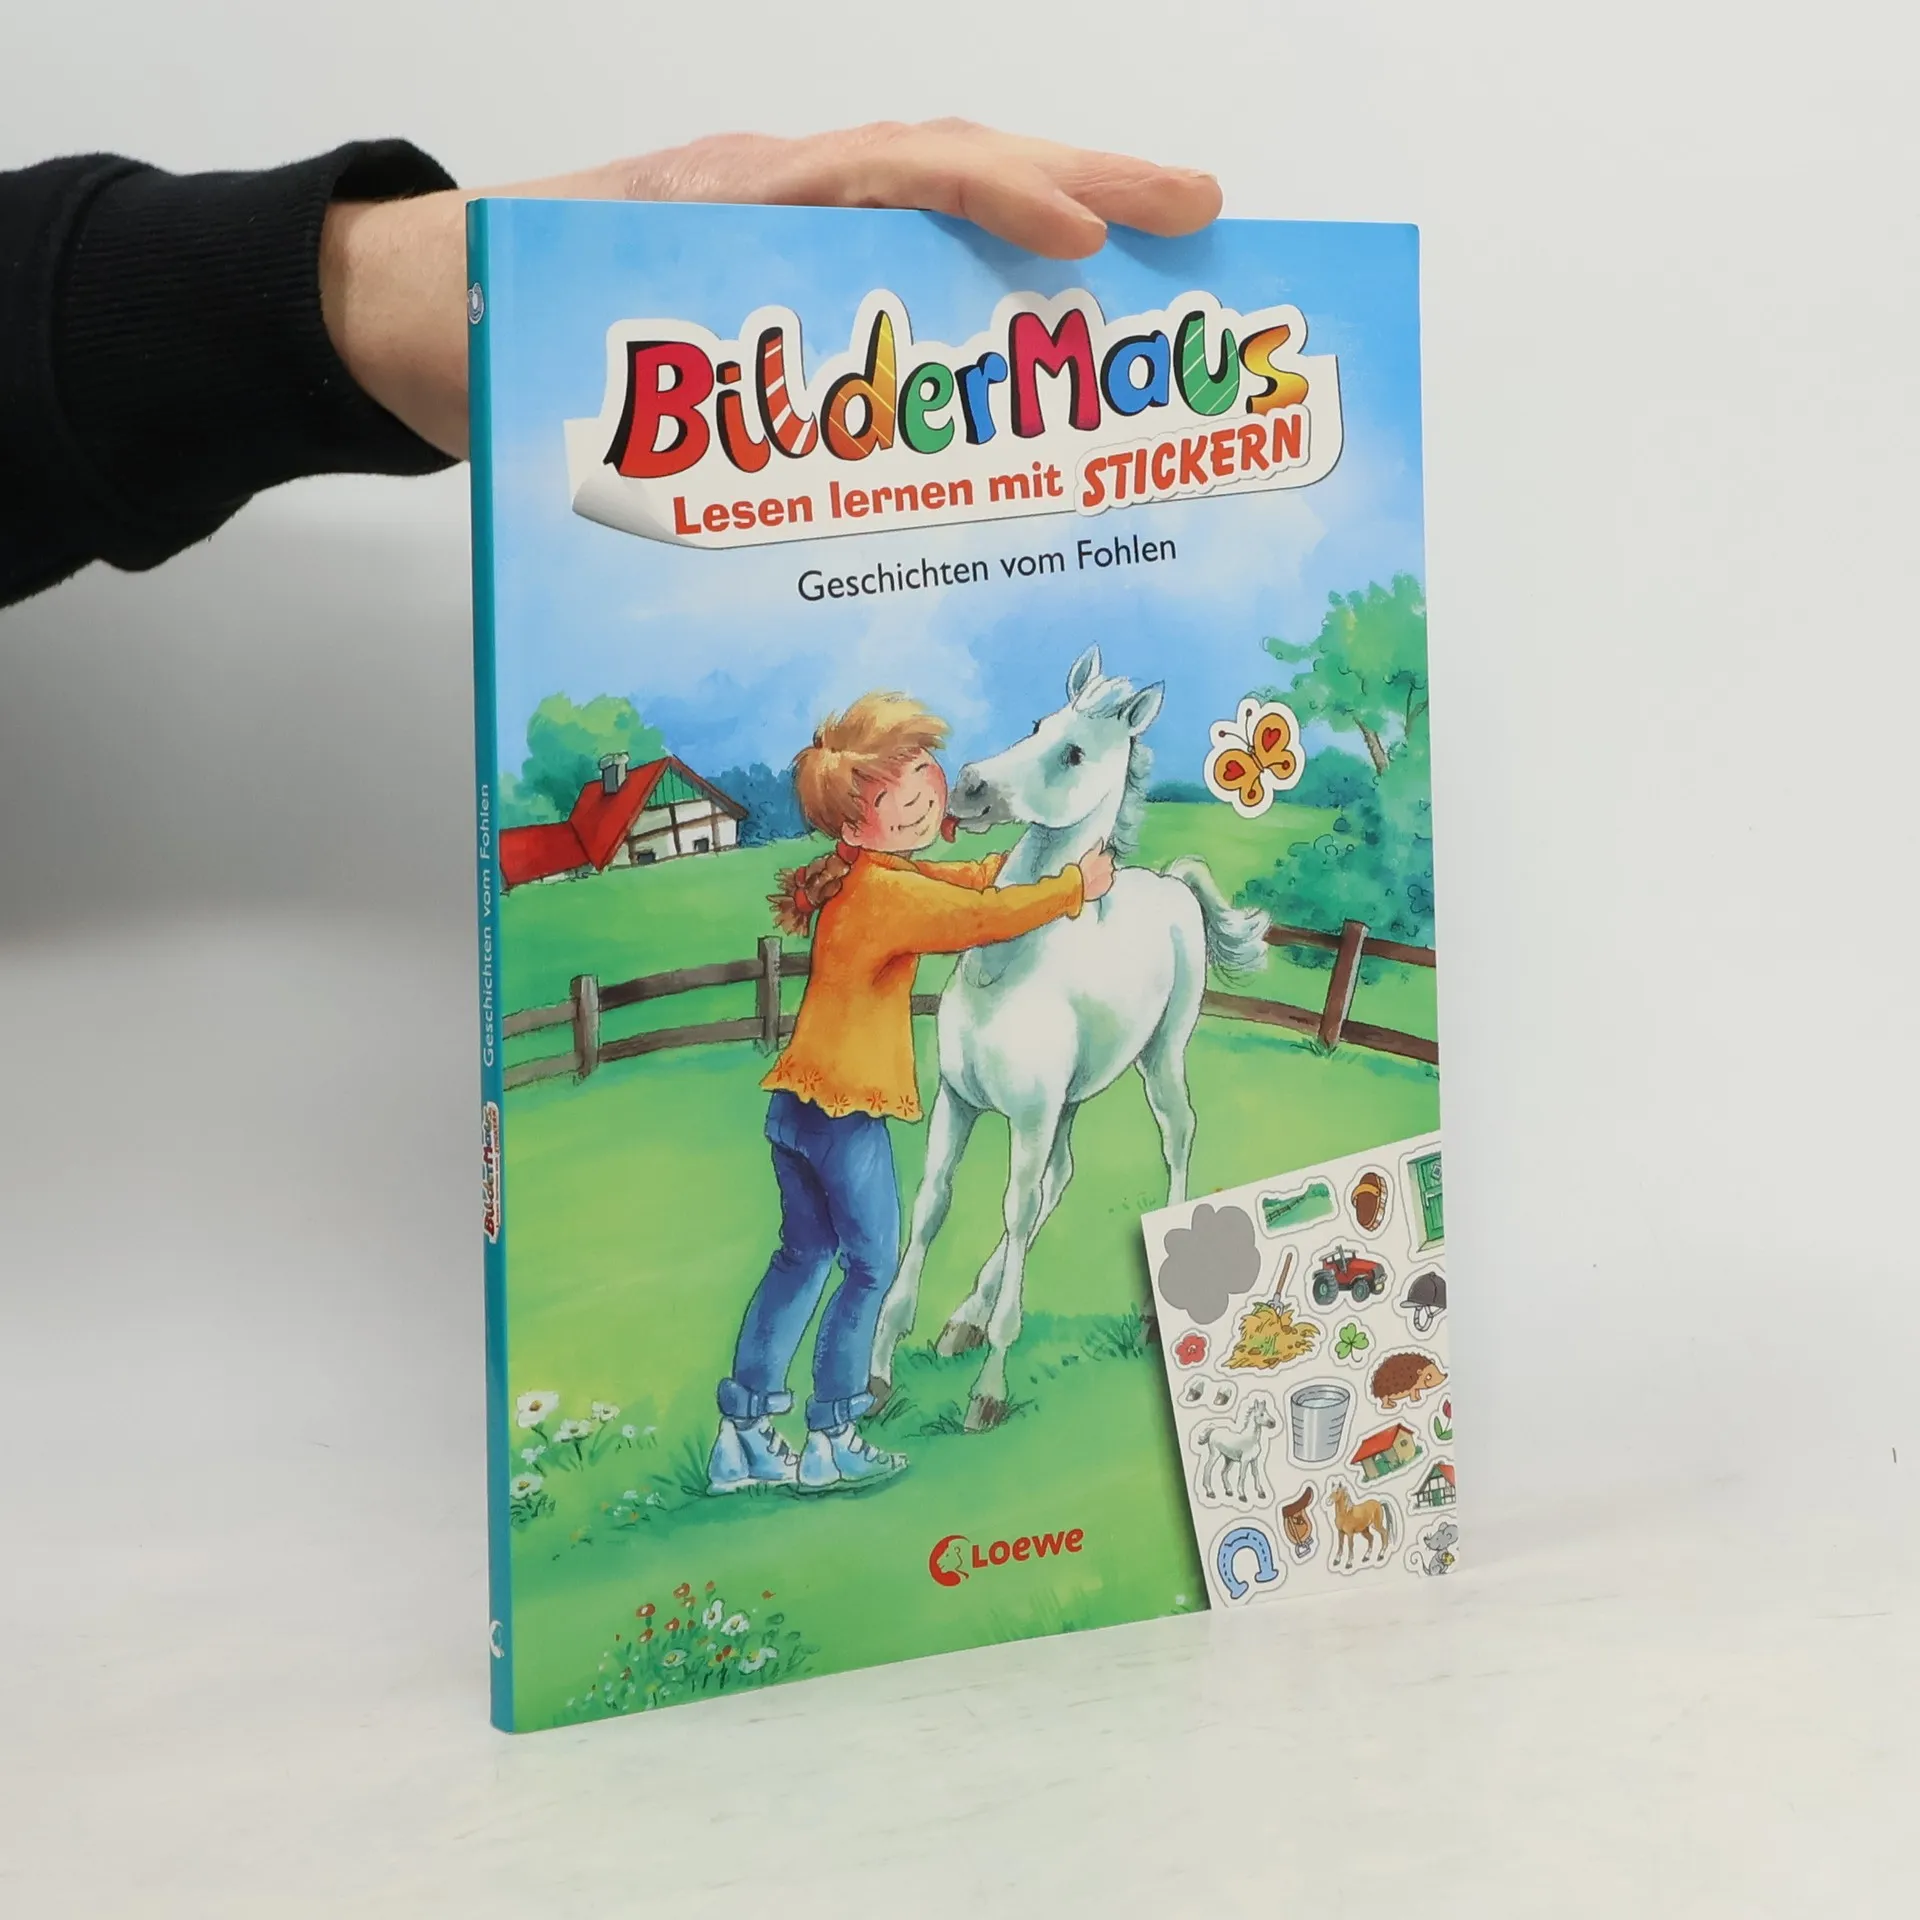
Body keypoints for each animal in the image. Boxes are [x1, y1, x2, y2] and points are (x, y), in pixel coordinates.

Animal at [868, 644, 1270, 1432]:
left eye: (1075, 752)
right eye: (1036, 724)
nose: (970, 787)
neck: (1007, 969)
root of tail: (1173, 884)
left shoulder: (1026, 1116)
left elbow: (1014, 1210)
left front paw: (988, 1390)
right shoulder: (960, 1102)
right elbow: (934, 1203)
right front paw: (877, 1370)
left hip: (1159, 1059)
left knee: (1175, 1136)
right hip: (1072, 1099)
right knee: (1058, 1178)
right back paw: (961, 1320)